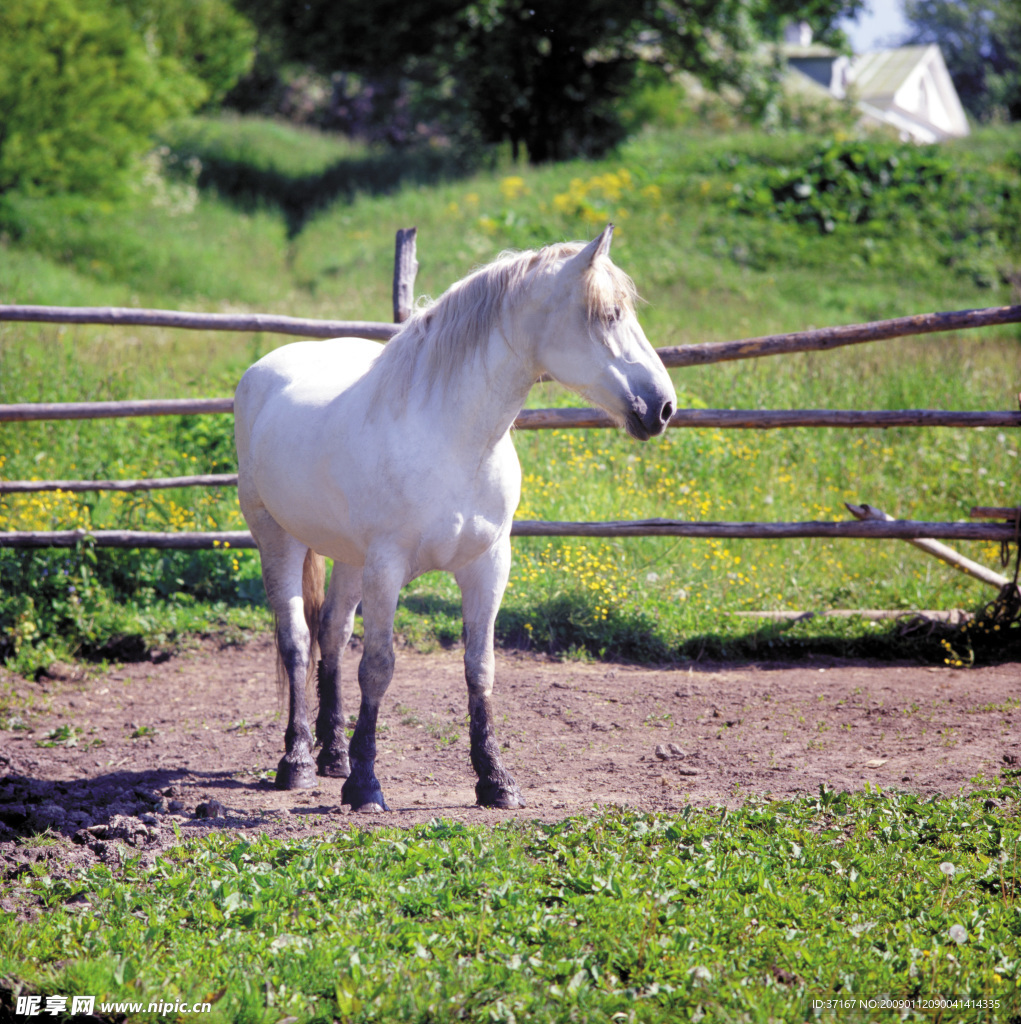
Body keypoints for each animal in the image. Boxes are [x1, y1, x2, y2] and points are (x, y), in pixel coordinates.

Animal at [234, 228, 671, 811]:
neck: (452, 437)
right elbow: (378, 667)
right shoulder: (388, 568)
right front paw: (366, 785)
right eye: (610, 313)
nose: (662, 407)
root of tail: (265, 369)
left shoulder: (488, 566)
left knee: (332, 634)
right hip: (278, 539)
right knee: (297, 640)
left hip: (350, 558)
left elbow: (479, 668)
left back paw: (333, 755)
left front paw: (496, 780)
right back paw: (298, 761)